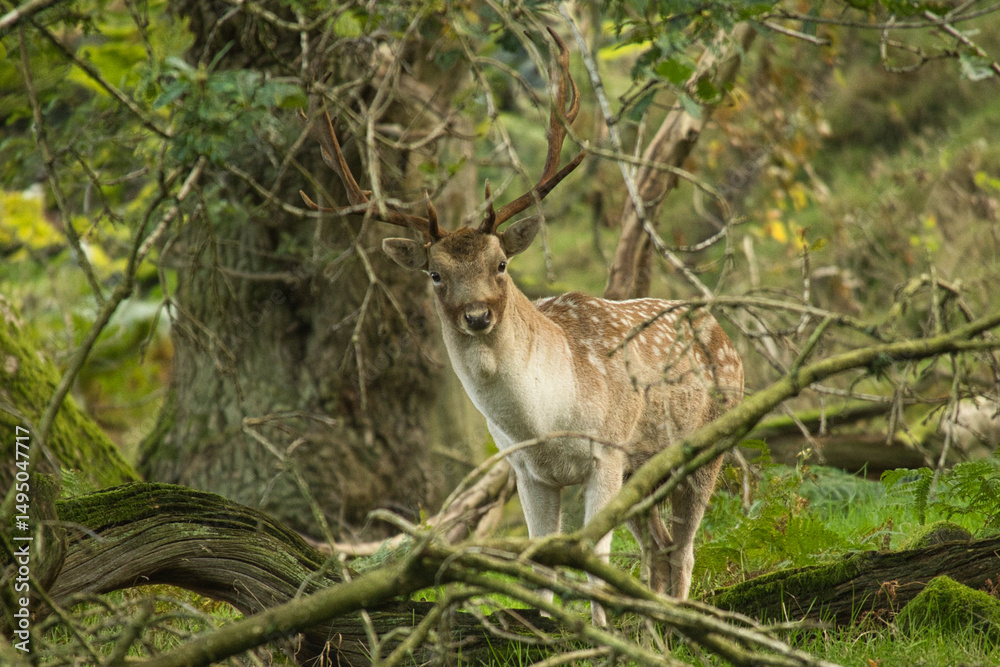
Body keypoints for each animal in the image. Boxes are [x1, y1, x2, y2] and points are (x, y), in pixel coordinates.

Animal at [301, 28, 744, 625]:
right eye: (435, 274)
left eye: (501, 264)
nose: (477, 315)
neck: (544, 420)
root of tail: (724, 332)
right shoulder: (527, 471)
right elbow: (540, 562)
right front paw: (548, 626)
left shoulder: (607, 449)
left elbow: (592, 557)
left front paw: (596, 632)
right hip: (643, 470)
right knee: (659, 547)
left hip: (707, 443)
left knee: (685, 548)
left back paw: (677, 621)